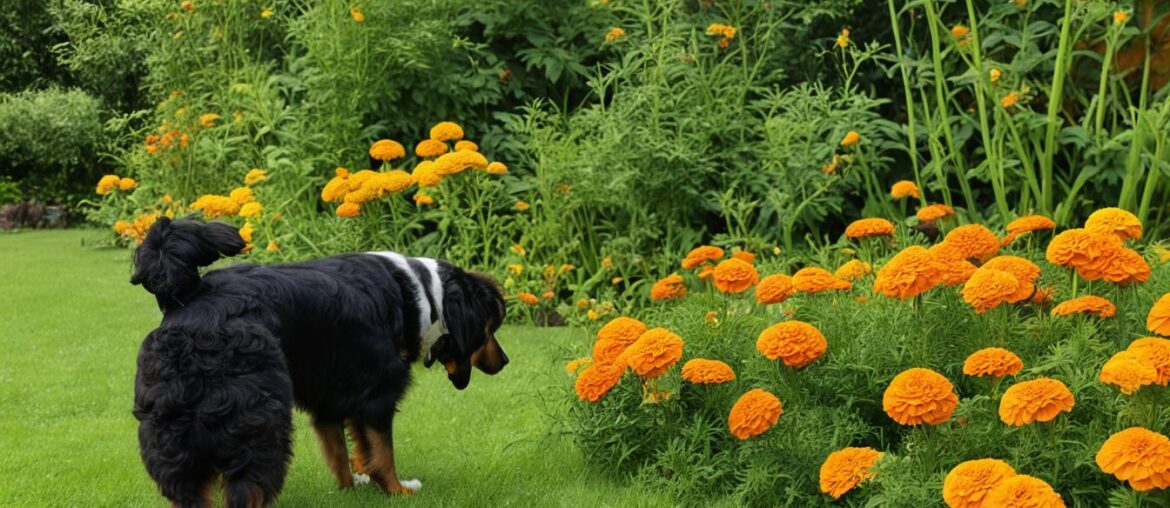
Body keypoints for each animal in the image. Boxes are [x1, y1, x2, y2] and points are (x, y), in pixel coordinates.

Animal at [131, 217, 507, 503]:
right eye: (490, 329)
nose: (504, 361)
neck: (422, 297)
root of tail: (189, 301)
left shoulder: (330, 398)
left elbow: (342, 451)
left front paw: (352, 488)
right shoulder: (378, 395)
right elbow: (383, 453)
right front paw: (397, 490)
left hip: (175, 440)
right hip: (259, 427)